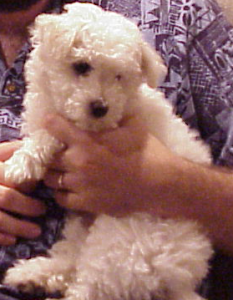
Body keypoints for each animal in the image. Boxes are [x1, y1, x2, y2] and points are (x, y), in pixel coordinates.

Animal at [4, 2, 214, 300]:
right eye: (82, 66)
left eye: (119, 77)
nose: (100, 107)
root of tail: (179, 283)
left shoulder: (93, 131)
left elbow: (48, 135)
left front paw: (19, 164)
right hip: (83, 231)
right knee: (71, 261)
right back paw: (30, 275)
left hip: (121, 243)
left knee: (90, 285)